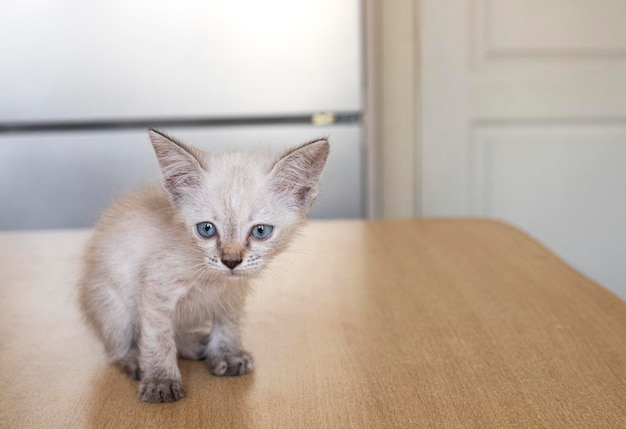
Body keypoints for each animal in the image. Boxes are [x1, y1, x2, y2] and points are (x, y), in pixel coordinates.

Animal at [78, 130, 330, 402]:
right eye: (206, 229)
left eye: (261, 231)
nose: (231, 261)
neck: (213, 280)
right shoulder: (157, 292)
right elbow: (158, 338)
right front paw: (160, 380)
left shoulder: (231, 295)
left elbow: (227, 325)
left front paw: (227, 355)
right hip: (114, 308)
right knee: (119, 348)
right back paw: (137, 361)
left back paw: (195, 345)